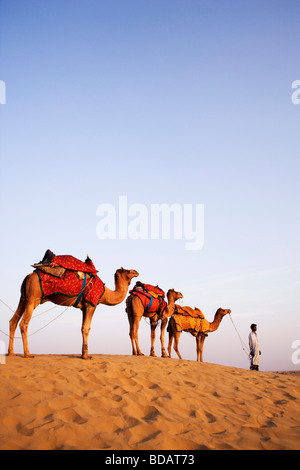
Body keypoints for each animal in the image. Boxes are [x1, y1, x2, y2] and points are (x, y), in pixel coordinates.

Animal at [7, 266, 138, 358]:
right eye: (127, 270)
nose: (136, 271)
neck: (105, 293)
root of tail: (28, 276)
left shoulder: (84, 307)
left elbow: (82, 327)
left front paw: (83, 354)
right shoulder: (91, 304)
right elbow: (86, 328)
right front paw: (86, 356)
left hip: (23, 297)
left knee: (13, 321)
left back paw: (11, 352)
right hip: (33, 298)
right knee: (23, 323)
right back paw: (28, 354)